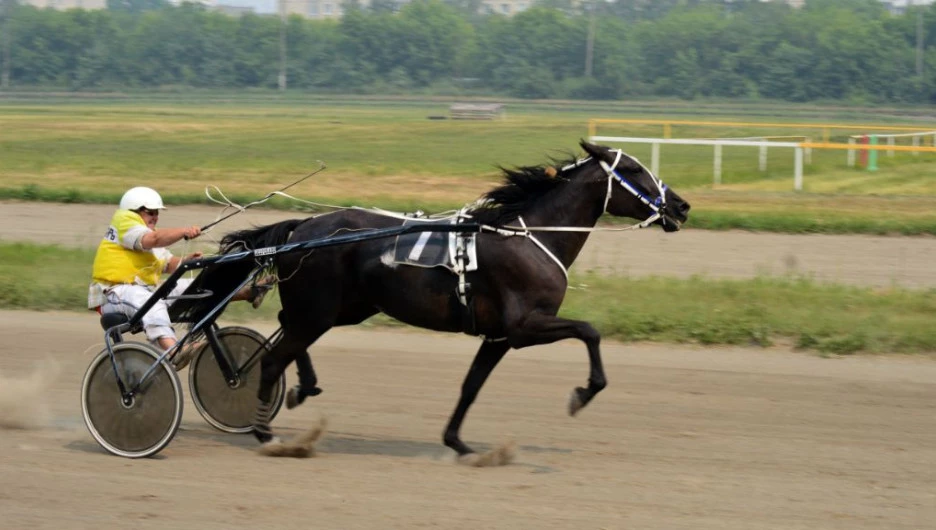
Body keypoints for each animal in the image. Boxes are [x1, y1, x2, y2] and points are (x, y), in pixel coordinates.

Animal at [219, 142, 688, 460]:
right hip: (319, 311)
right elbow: (590, 331)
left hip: (341, 309)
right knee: (273, 358)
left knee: (286, 327)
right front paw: (584, 393)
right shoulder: (524, 327)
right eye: (634, 169)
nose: (681, 206)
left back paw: (303, 386)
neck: (528, 236)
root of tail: (303, 227)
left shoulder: (498, 337)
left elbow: (471, 385)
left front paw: (458, 442)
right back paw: (266, 434)